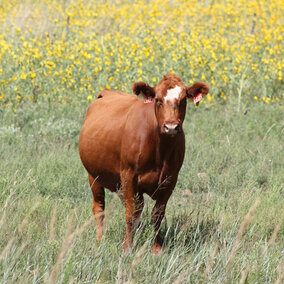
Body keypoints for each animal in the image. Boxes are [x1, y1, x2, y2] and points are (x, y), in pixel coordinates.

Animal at [78, 74, 209, 254]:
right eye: (158, 100)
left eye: (183, 100)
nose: (171, 127)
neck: (160, 151)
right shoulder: (128, 175)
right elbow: (130, 214)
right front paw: (127, 248)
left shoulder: (170, 179)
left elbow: (157, 215)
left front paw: (156, 248)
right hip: (94, 176)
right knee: (99, 208)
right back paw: (99, 240)